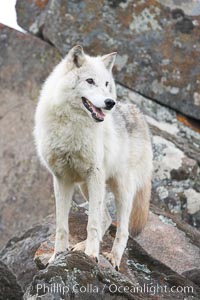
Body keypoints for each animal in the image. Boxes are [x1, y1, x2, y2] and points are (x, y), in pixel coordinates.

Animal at [34, 45, 153, 270]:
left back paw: (111, 258)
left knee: (122, 230)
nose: (110, 102)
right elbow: (61, 226)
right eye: (90, 81)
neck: (72, 127)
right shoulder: (61, 179)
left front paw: (91, 256)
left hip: (121, 190)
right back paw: (81, 247)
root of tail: (138, 113)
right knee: (105, 217)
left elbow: (92, 224)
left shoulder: (94, 173)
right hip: (85, 187)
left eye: (107, 84)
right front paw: (57, 256)